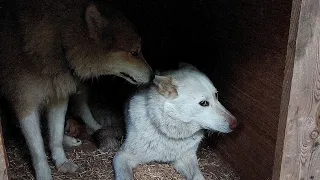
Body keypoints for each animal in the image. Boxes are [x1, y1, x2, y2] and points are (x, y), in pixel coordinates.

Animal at [0, 0, 154, 179]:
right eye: (134, 52)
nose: (152, 76)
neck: (61, 43)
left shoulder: (58, 97)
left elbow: (55, 136)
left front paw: (61, 162)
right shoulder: (26, 103)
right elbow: (37, 149)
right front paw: (44, 173)